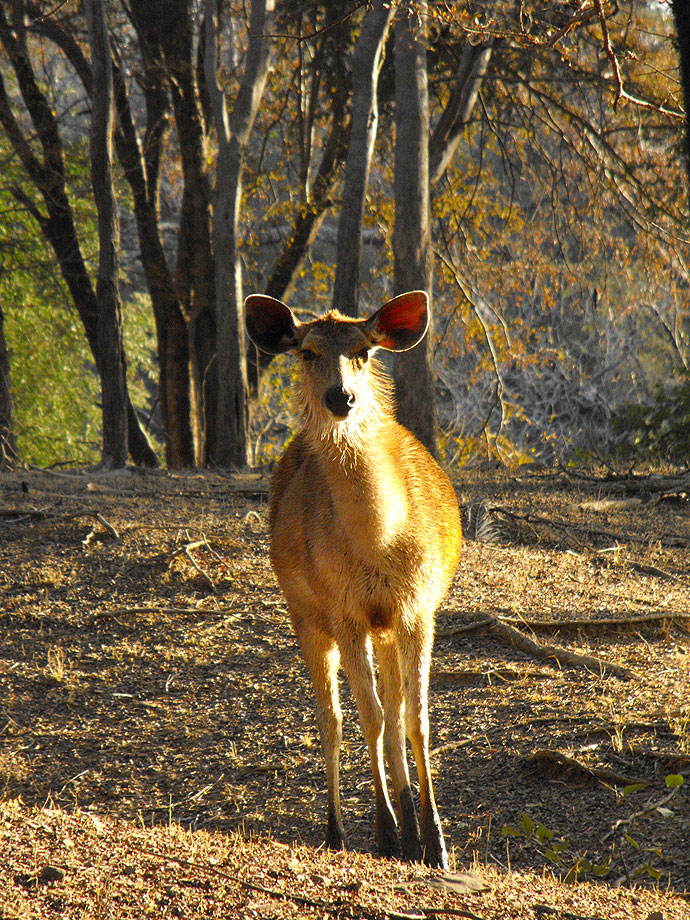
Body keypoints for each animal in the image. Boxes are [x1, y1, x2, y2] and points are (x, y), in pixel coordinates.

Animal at [245, 290, 460, 868]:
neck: (380, 544)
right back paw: (338, 830)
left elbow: (415, 720)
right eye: (307, 351)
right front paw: (387, 834)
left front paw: (435, 842)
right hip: (306, 615)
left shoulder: (417, 608)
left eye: (363, 350)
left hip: (384, 628)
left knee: (393, 711)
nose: (340, 397)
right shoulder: (345, 611)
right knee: (332, 719)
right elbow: (368, 718)